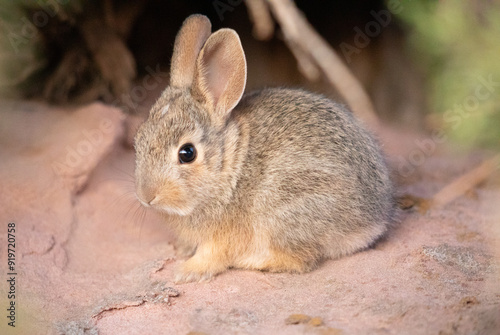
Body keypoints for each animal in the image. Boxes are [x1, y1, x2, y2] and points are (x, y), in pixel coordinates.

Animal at [135, 15, 396, 284]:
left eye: (187, 153)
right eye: (139, 138)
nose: (146, 196)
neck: (229, 168)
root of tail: (373, 221)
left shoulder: (222, 237)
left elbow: (212, 255)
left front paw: (186, 271)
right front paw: (182, 249)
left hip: (282, 211)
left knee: (301, 260)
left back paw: (252, 261)